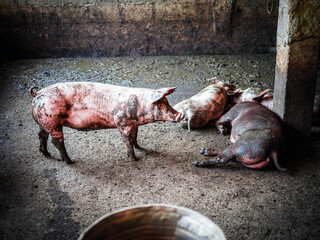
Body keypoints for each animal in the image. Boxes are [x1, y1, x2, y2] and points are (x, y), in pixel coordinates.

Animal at [29, 82, 181, 163]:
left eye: (167, 102)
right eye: (160, 104)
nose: (180, 114)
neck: (139, 106)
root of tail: (37, 94)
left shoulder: (133, 124)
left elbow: (134, 137)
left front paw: (140, 147)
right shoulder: (121, 121)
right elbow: (127, 140)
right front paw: (135, 159)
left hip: (44, 122)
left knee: (41, 135)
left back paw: (46, 154)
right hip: (53, 122)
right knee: (56, 142)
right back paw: (70, 162)